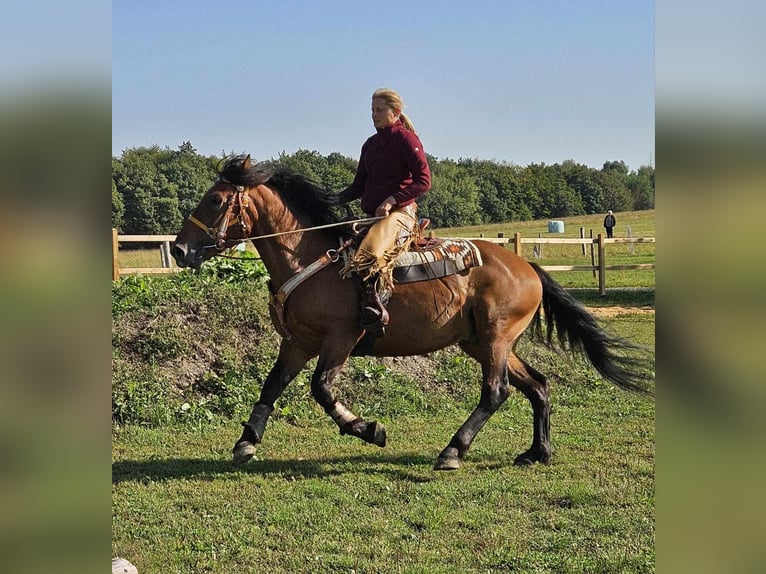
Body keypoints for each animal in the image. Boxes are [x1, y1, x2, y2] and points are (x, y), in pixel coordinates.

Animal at [171, 154, 652, 472]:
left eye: (215, 201)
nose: (178, 250)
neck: (307, 257)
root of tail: (526, 266)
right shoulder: (297, 343)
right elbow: (271, 386)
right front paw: (246, 443)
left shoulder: (339, 339)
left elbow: (321, 390)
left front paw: (368, 429)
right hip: (480, 342)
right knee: (537, 384)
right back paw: (538, 452)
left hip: (495, 339)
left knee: (496, 392)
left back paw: (453, 451)